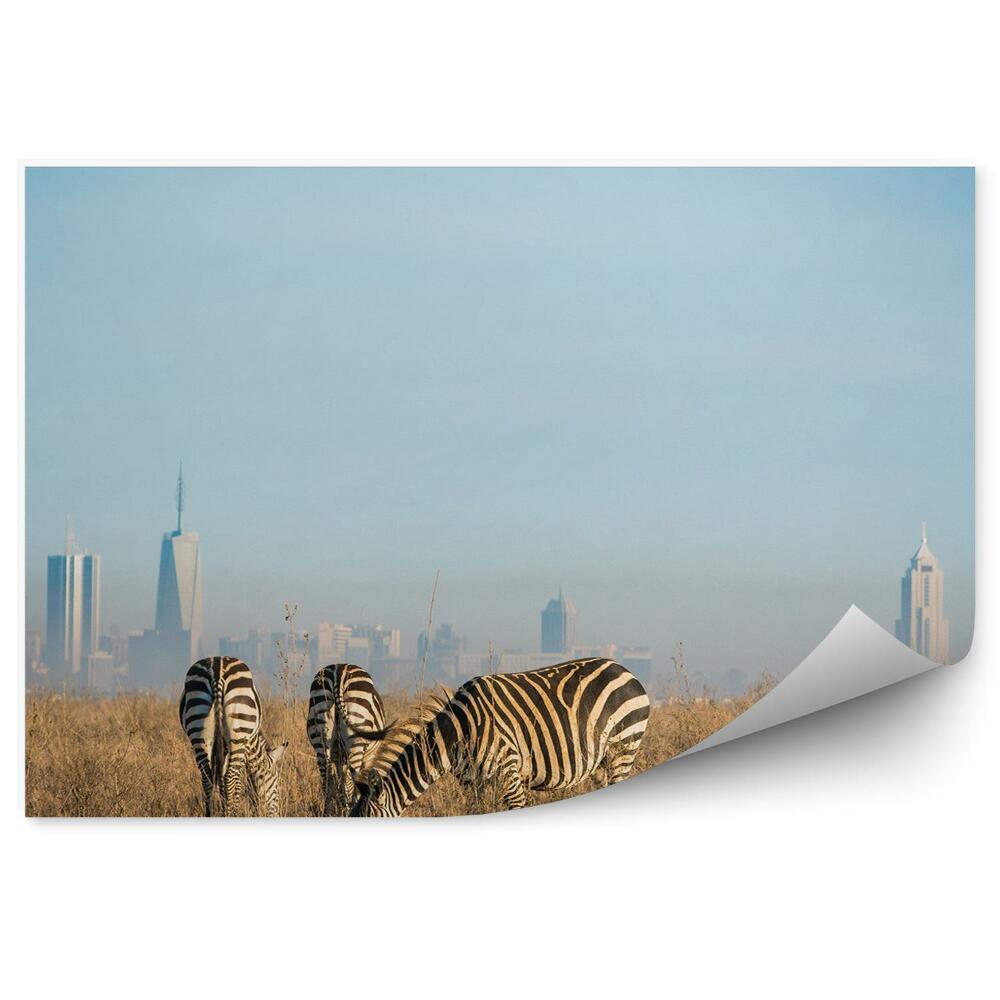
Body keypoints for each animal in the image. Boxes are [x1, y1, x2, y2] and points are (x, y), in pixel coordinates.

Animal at [179, 656, 288, 817]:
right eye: (275, 785)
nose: (277, 814)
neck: (253, 743)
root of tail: (216, 673)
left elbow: (221, 780)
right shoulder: (245, 747)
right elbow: (236, 784)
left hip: (198, 729)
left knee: (207, 778)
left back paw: (211, 814)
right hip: (239, 732)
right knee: (230, 777)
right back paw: (231, 814)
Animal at [349, 658, 649, 817]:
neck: (457, 734)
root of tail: (625, 669)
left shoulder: (510, 775)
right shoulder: (476, 785)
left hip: (623, 747)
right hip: (600, 762)